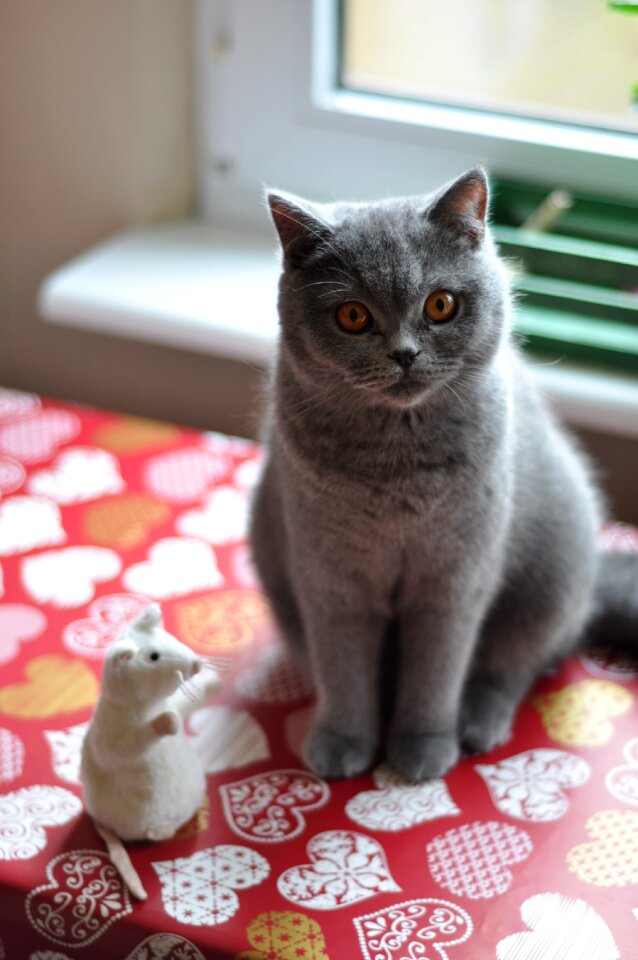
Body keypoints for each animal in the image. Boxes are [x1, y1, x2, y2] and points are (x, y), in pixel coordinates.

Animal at [251, 169, 638, 784]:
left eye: (440, 305)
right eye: (353, 316)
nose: (404, 354)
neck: (396, 467)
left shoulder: (455, 579)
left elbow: (437, 672)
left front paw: (421, 749)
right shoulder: (329, 578)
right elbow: (342, 669)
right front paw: (343, 742)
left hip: (550, 577)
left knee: (514, 665)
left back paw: (478, 724)